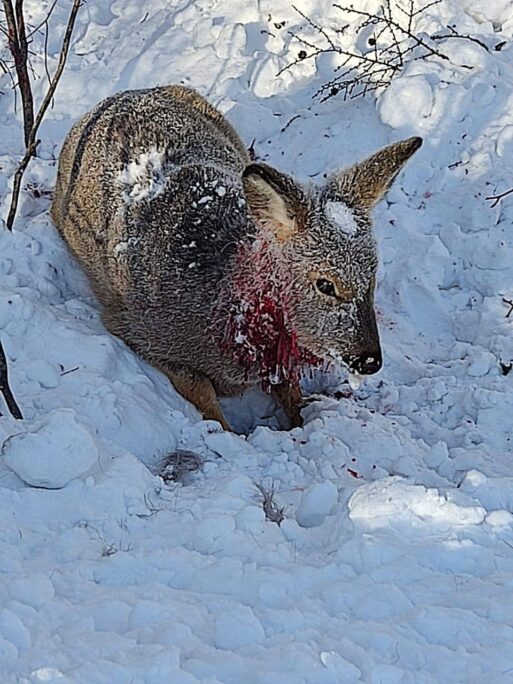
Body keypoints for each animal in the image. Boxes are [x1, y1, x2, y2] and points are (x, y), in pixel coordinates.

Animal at [51, 85, 421, 430]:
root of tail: (128, 94)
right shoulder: (138, 329)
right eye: (325, 284)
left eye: (374, 275)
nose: (369, 360)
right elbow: (204, 398)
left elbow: (291, 394)